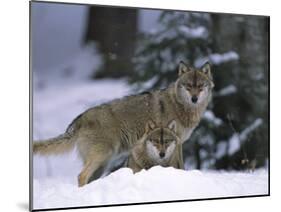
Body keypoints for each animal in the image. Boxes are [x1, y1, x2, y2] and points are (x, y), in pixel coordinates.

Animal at [32, 60, 212, 186]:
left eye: (200, 86)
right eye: (188, 86)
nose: (194, 99)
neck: (181, 106)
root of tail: (80, 118)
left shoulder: (177, 143)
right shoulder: (177, 143)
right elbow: (180, 164)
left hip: (103, 164)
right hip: (101, 156)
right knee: (81, 176)